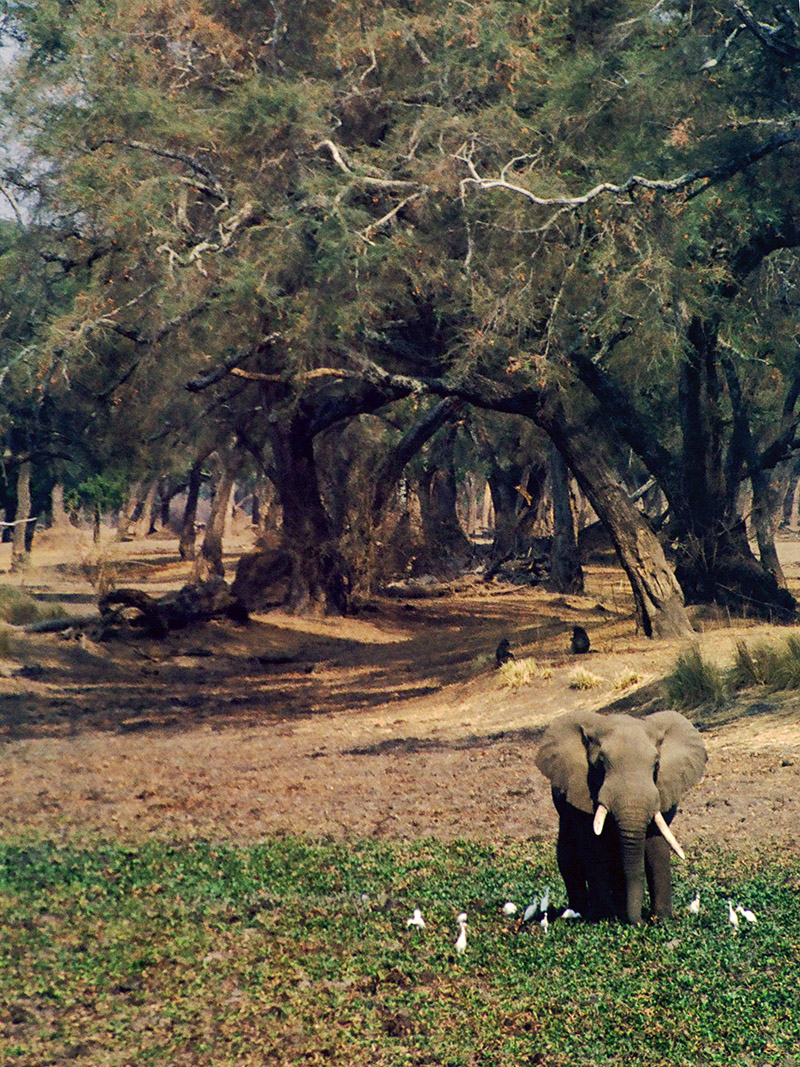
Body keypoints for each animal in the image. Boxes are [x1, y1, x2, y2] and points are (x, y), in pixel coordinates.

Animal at [539, 708, 708, 926]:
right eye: (600, 763)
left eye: (656, 765)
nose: (639, 923)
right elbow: (593, 847)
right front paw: (602, 919)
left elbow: (656, 845)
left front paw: (662, 920)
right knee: (568, 855)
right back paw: (578, 913)